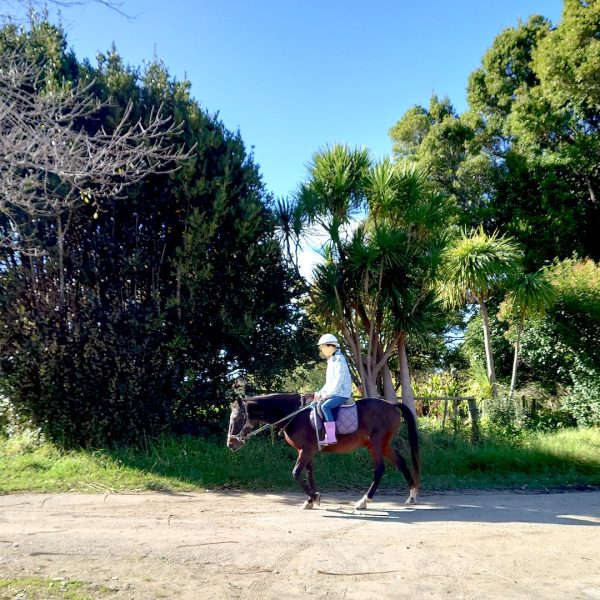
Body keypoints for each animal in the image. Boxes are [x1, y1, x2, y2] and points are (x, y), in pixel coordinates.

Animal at [227, 394, 420, 510]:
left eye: (237, 418)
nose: (230, 444)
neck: (295, 414)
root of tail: (391, 404)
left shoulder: (305, 450)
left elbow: (296, 473)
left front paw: (314, 496)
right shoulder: (307, 451)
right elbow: (309, 473)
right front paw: (311, 500)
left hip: (376, 444)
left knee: (379, 470)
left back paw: (364, 501)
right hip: (383, 444)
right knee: (401, 463)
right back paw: (411, 496)